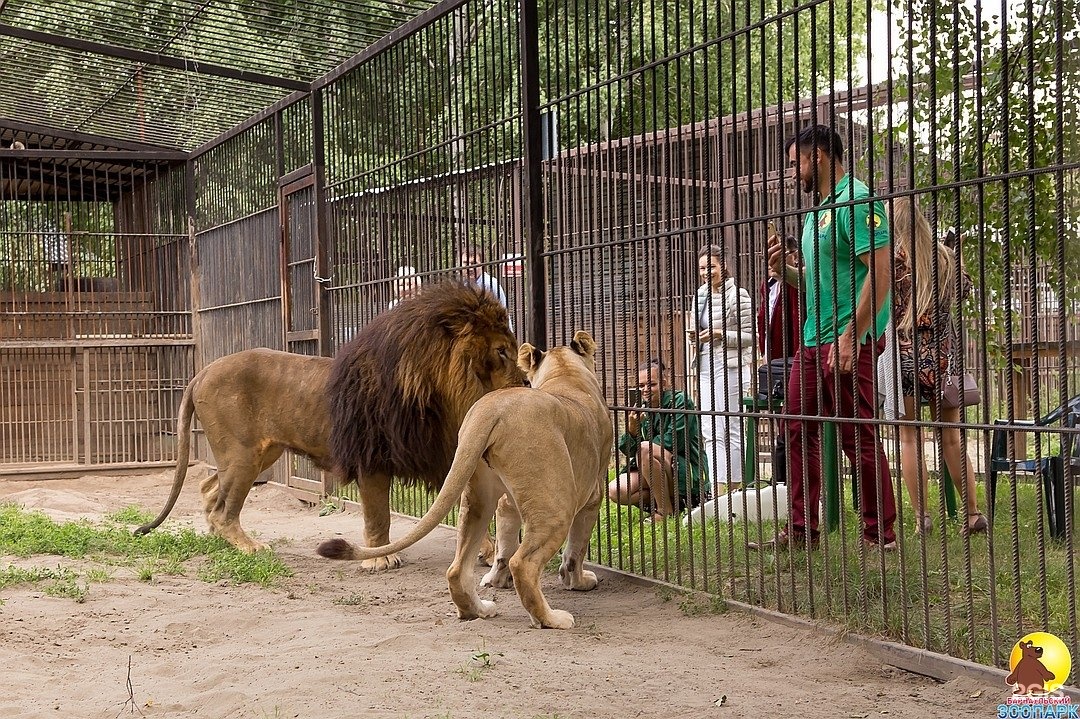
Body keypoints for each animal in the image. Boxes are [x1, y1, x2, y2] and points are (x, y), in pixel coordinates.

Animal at [315, 278, 524, 565]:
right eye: (501, 351)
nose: (527, 383)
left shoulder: (456, 450)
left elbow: (467, 507)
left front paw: (486, 549)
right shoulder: (370, 450)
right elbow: (377, 513)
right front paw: (380, 558)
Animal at [339, 330, 617, 626]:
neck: (566, 375)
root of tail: (491, 409)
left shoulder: (506, 502)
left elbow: (504, 545)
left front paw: (496, 580)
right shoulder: (592, 496)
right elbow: (575, 549)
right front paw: (578, 581)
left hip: (478, 498)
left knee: (457, 569)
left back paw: (478, 610)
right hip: (557, 504)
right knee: (524, 564)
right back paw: (552, 619)